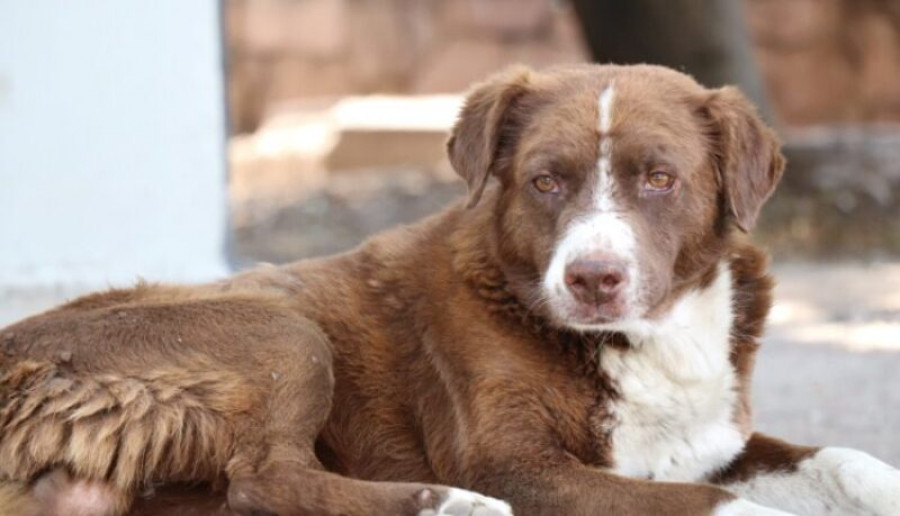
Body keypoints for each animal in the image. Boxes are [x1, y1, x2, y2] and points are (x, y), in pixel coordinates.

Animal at [1, 65, 900, 516]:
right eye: (545, 180)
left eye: (659, 178)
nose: (593, 280)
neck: (641, 340)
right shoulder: (514, 464)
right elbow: (720, 508)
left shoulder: (709, 442)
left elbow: (844, 459)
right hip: (282, 334)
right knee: (263, 479)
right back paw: (447, 505)